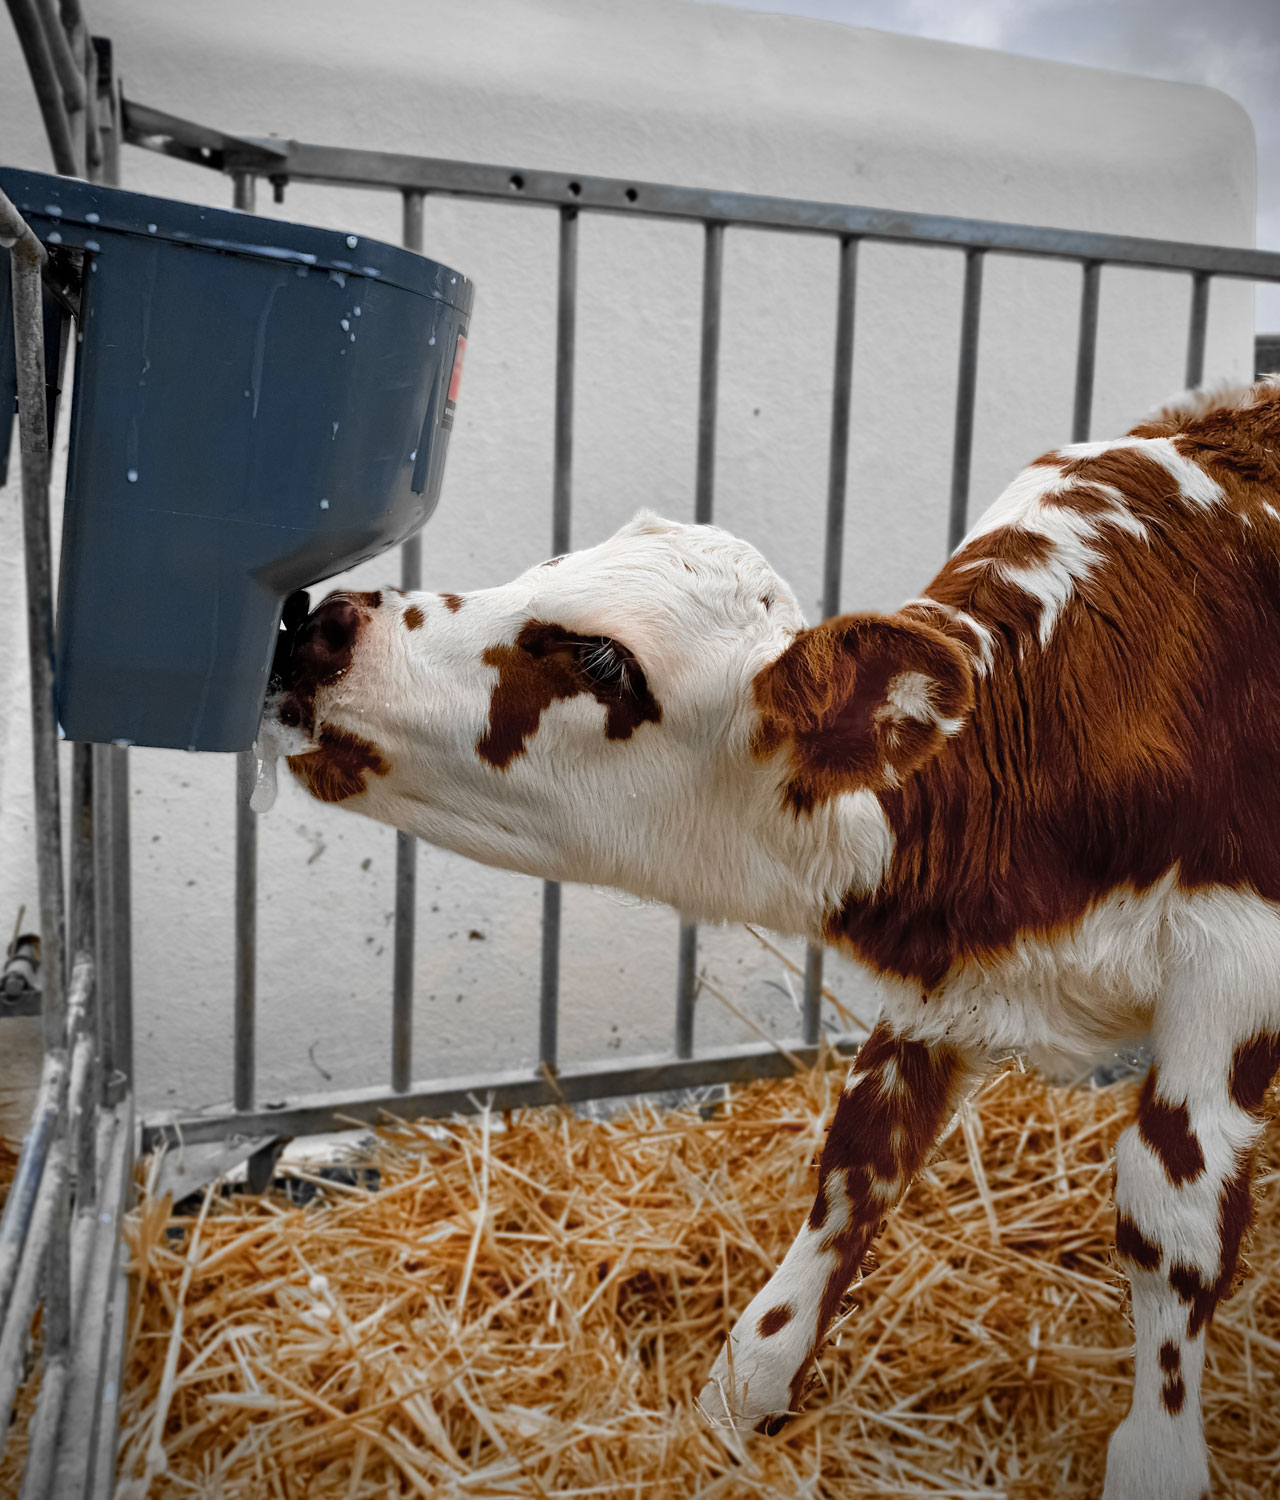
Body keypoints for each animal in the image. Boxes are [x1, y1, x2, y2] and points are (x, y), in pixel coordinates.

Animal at [263, 377, 1280, 1500]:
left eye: (604, 657)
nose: (325, 624)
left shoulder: (1236, 962)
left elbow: (1171, 1218)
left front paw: (1159, 1453)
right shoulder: (941, 987)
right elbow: (858, 1161)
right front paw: (743, 1394)